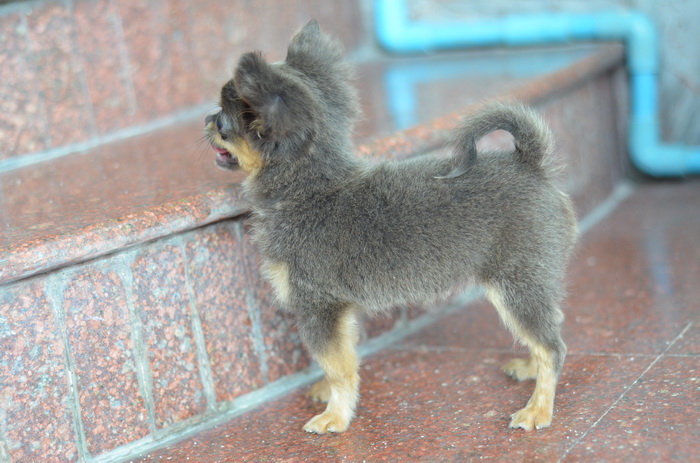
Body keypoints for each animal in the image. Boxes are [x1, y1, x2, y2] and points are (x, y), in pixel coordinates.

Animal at [205, 20, 578, 435]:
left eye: (223, 121)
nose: (205, 121)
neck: (310, 187)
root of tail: (533, 164)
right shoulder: (341, 309)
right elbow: (347, 357)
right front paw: (327, 395)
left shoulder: (318, 306)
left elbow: (337, 367)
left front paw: (335, 415)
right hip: (529, 282)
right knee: (549, 329)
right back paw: (529, 369)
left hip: (514, 282)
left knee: (552, 347)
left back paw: (538, 409)